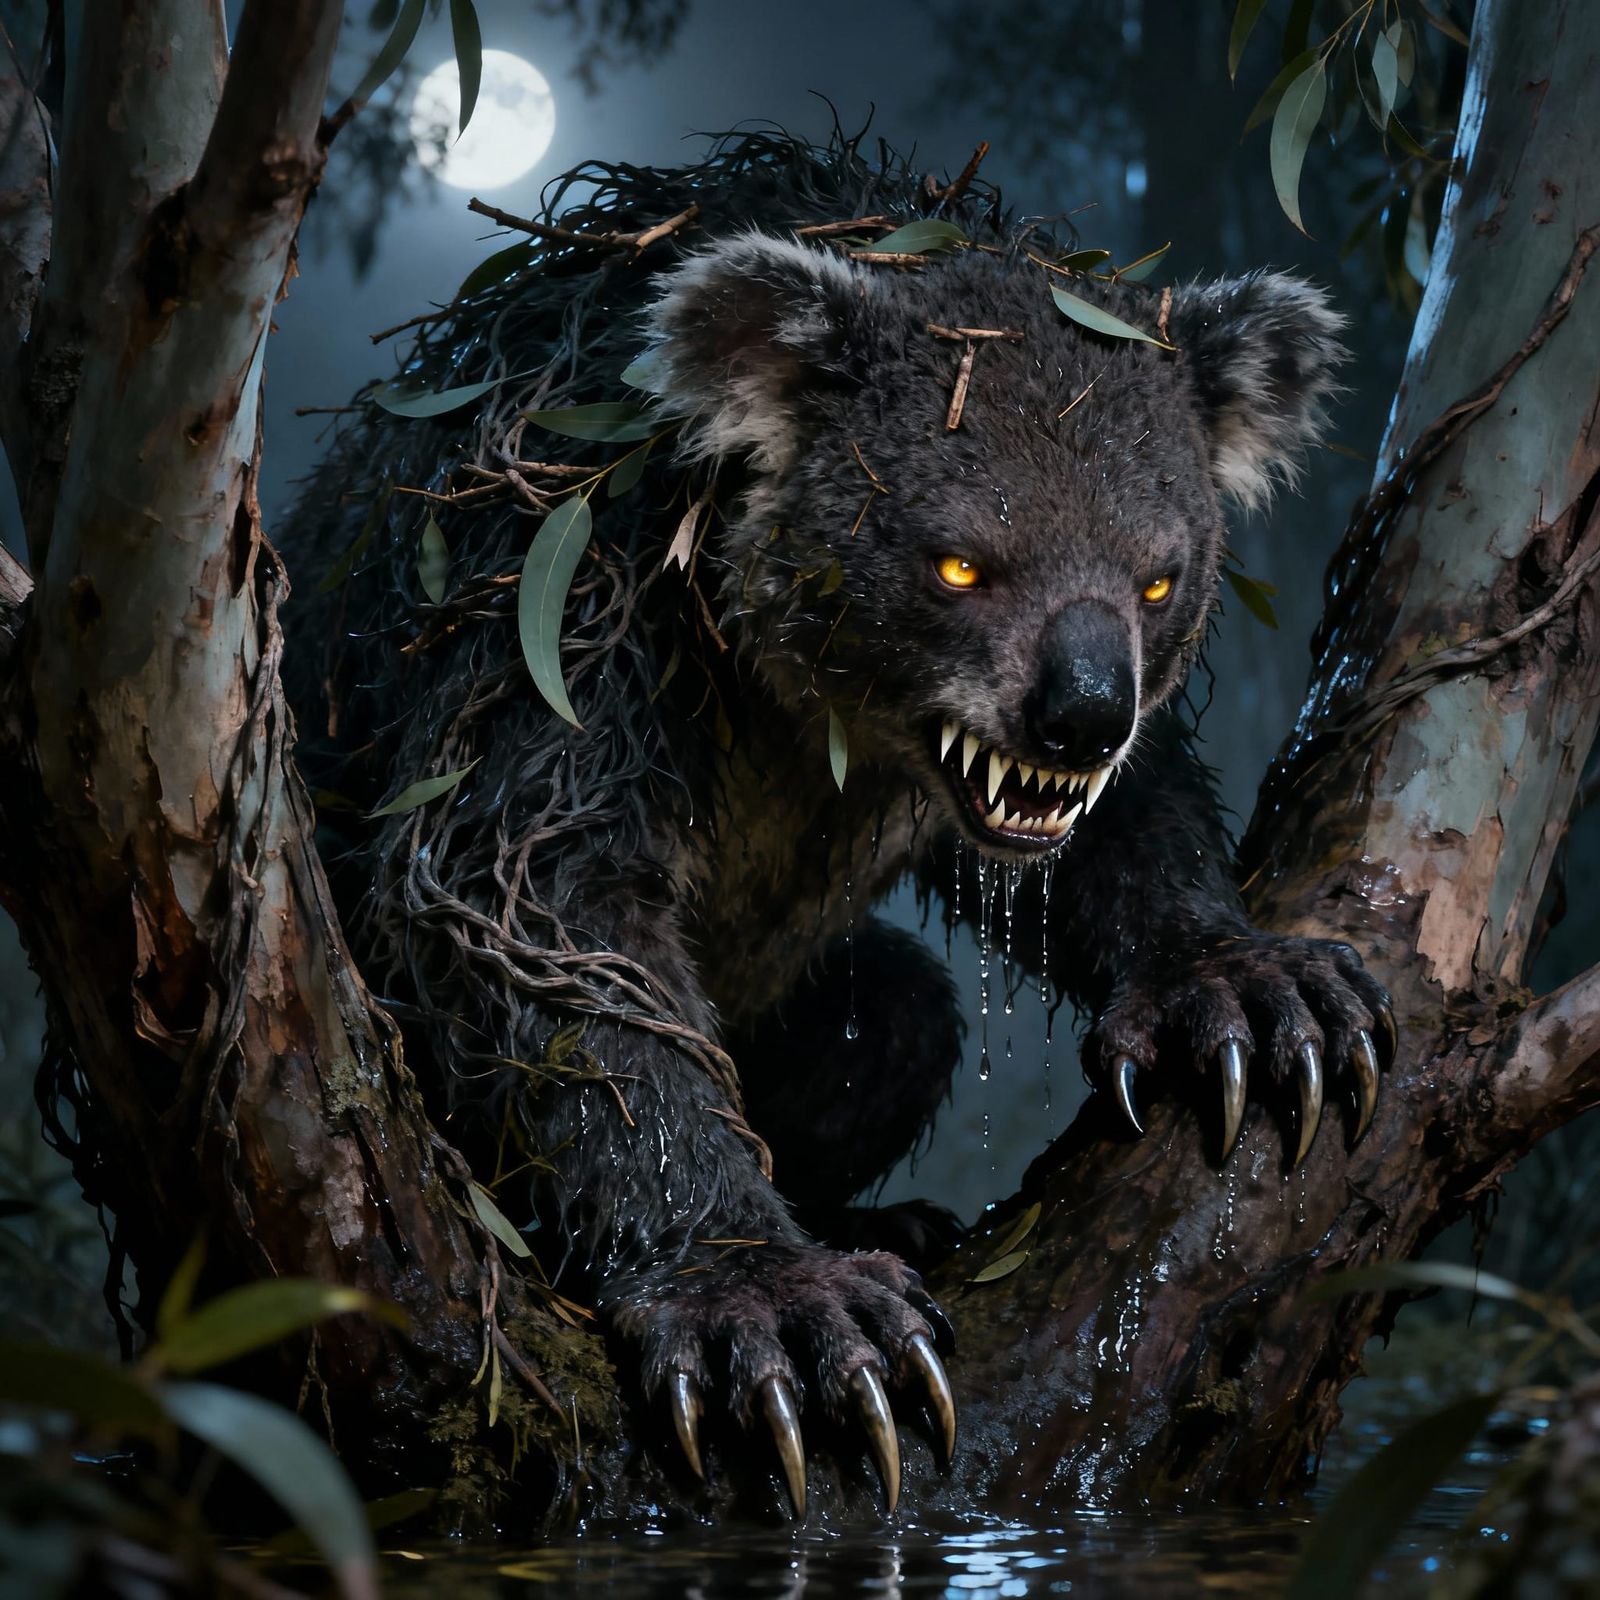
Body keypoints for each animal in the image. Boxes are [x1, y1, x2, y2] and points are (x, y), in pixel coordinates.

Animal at [283, 130, 1393, 1518]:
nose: (1083, 718)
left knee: (903, 1022)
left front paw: (1242, 985)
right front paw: (767, 1304)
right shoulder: (564, 606)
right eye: (958, 567)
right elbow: (523, 903)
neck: (817, 706)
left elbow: (1121, 841)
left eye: (1158, 580)